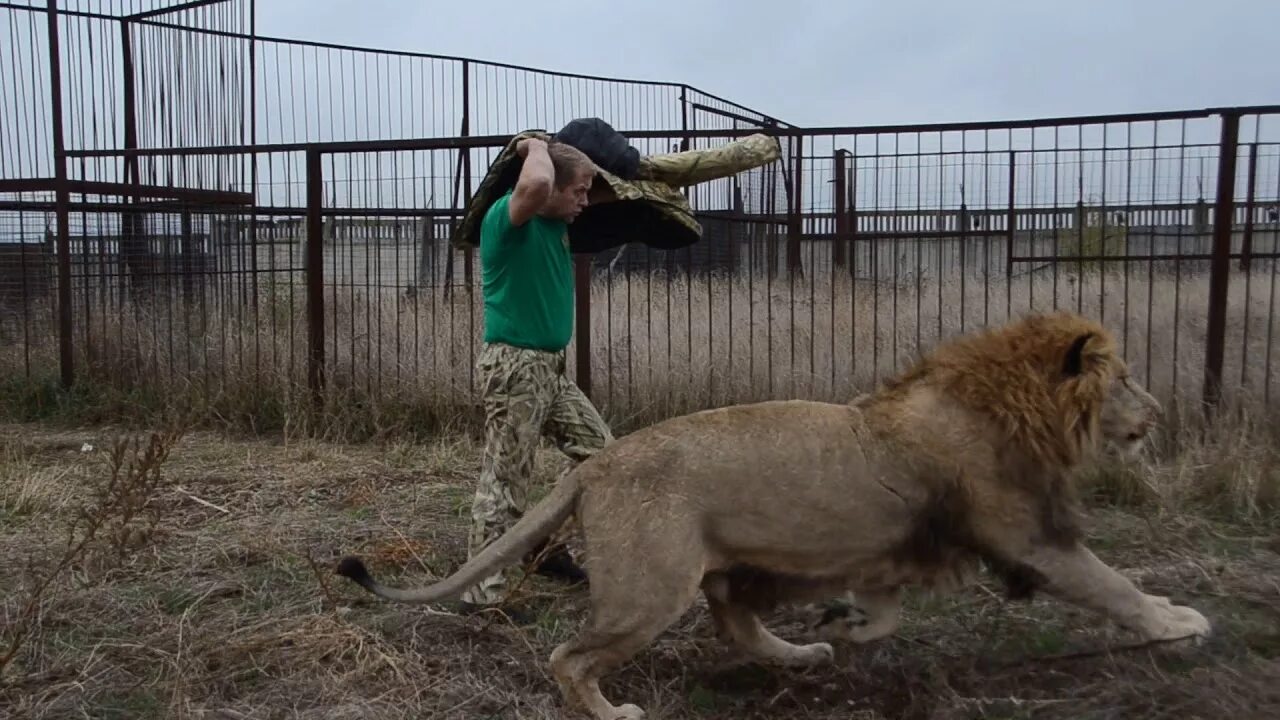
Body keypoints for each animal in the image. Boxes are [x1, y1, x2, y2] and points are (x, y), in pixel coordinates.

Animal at [337, 310, 1208, 717]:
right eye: (1125, 378)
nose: (1162, 412)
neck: (1007, 406)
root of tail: (595, 466)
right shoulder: (1028, 535)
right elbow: (1113, 585)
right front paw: (1178, 622)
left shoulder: (893, 543)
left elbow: (886, 608)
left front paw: (848, 627)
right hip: (651, 590)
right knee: (570, 657)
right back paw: (615, 709)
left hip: (727, 564)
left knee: (734, 618)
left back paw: (803, 652)